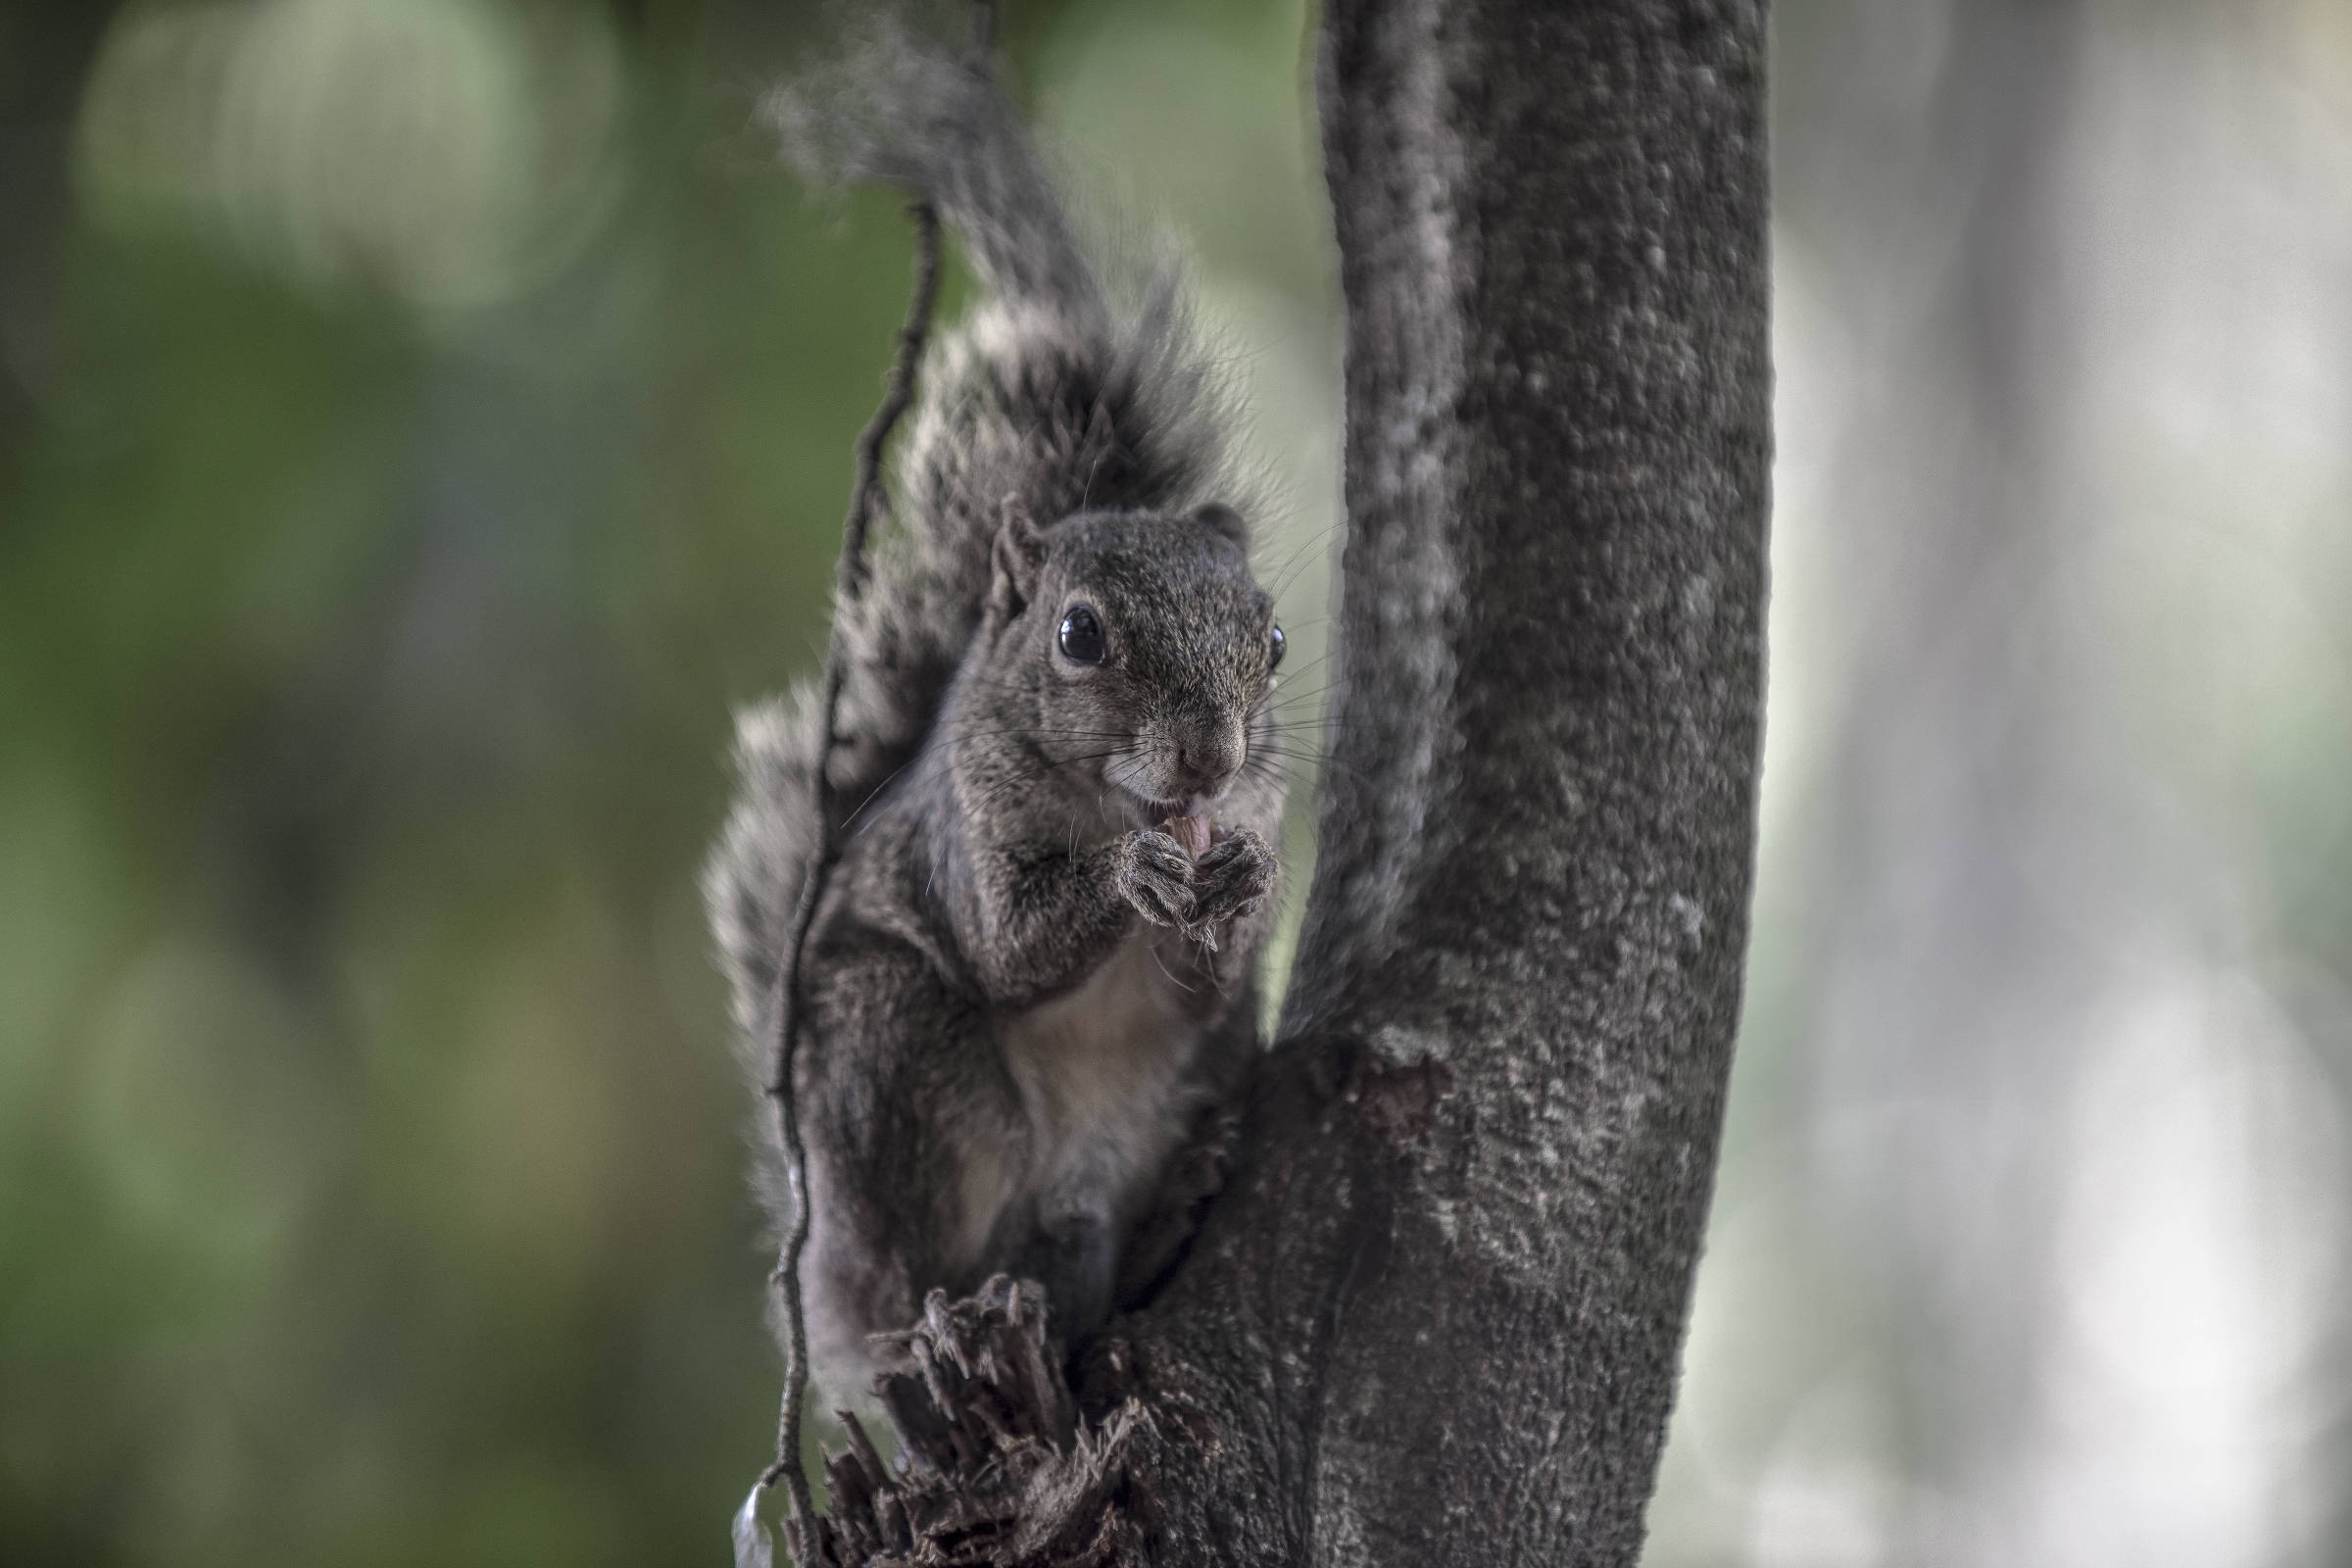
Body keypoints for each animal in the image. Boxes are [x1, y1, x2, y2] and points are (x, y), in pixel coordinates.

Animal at [701, 27, 1289, 1410]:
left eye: (1277, 644)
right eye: (1077, 638)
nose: (1210, 760)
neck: (1111, 800)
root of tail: (826, 1290)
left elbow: (1200, 984)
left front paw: (1239, 880)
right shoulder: (964, 835)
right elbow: (1013, 944)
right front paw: (1130, 877)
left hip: (1167, 1109)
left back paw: (1164, 1216)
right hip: (896, 1059)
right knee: (919, 1277)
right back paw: (934, 1317)